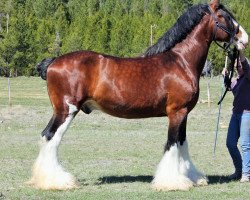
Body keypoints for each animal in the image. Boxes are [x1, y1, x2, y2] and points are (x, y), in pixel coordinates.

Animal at [28, 0, 248, 191]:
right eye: (225, 16)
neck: (181, 61)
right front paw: (172, 182)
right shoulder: (176, 112)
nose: (244, 39)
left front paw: (192, 177)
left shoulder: (184, 113)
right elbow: (172, 144)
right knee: (51, 137)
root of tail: (53, 62)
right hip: (66, 110)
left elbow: (182, 143)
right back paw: (57, 181)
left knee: (47, 136)